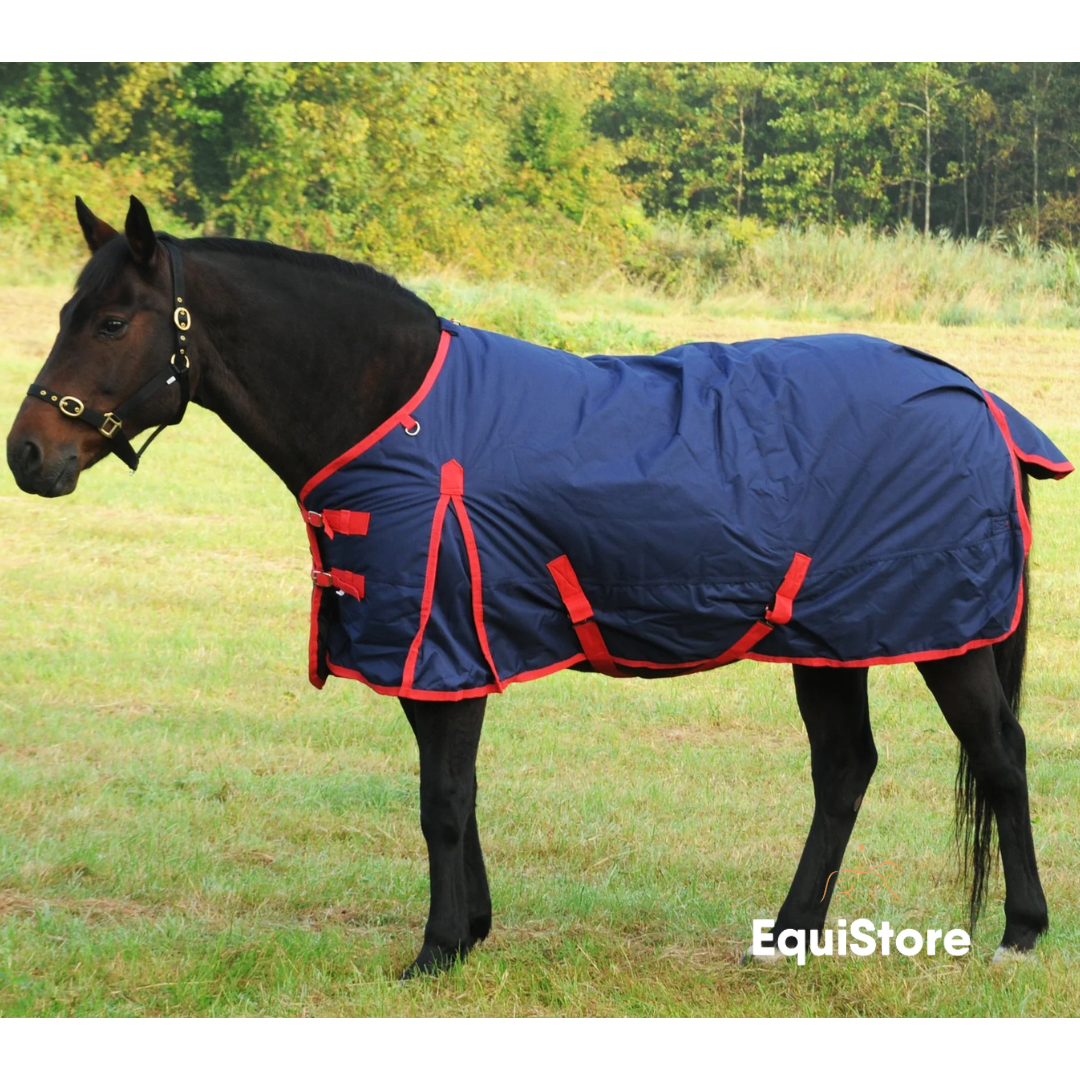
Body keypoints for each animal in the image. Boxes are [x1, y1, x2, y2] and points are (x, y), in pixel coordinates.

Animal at [6, 197, 1073, 977]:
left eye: (112, 321)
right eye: (63, 314)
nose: (28, 456)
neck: (398, 415)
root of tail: (979, 398)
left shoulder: (442, 641)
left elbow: (441, 797)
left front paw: (437, 950)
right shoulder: (438, 653)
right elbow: (456, 792)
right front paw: (471, 929)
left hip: (944, 636)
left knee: (1002, 756)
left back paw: (1019, 932)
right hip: (831, 637)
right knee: (846, 769)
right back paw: (790, 935)